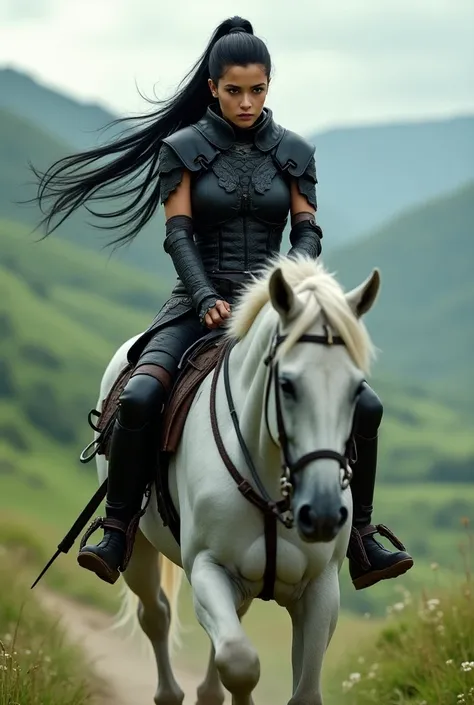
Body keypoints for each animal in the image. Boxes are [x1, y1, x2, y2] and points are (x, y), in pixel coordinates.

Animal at [94, 256, 380, 704]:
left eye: (355, 388)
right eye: (287, 384)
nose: (322, 514)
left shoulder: (320, 588)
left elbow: (301, 690)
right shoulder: (208, 569)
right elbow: (240, 663)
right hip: (138, 549)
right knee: (155, 614)